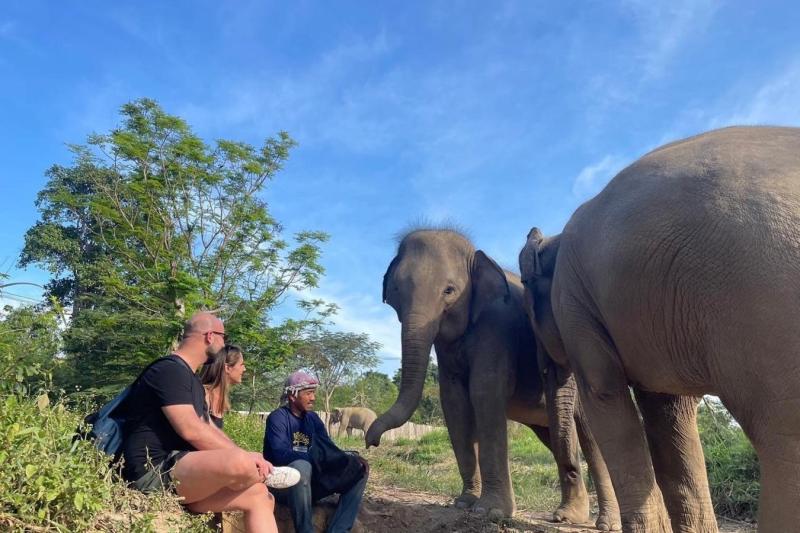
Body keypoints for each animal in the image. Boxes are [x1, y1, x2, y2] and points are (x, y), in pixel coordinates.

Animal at [365, 229, 620, 528]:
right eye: (395, 293)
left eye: (449, 291)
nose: (371, 443)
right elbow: (454, 401)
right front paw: (464, 502)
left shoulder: (497, 326)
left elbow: (484, 391)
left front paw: (491, 511)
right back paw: (569, 515)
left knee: (593, 442)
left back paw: (606, 522)